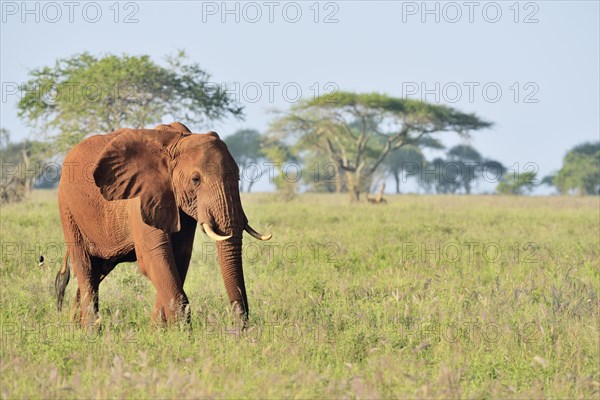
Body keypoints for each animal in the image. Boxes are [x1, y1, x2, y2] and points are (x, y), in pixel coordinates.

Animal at [55, 122, 270, 328]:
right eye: (195, 180)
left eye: (238, 177)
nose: (240, 328)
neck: (177, 142)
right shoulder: (140, 200)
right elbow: (156, 258)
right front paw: (182, 332)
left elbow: (178, 258)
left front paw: (159, 331)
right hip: (67, 209)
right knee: (86, 268)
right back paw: (91, 330)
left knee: (98, 271)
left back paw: (75, 327)